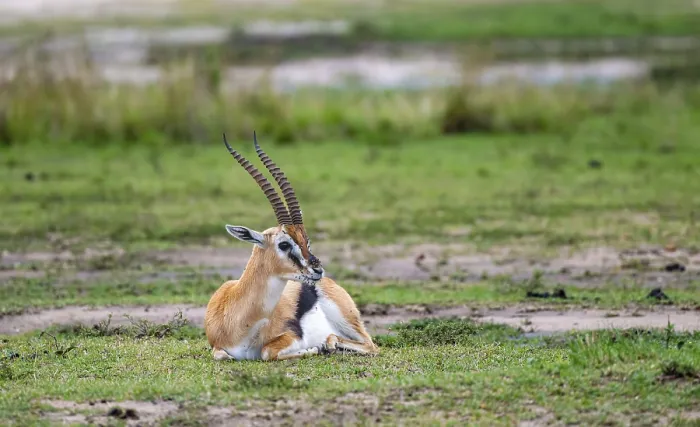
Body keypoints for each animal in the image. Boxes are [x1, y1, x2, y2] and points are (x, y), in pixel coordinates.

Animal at [205, 132, 379, 361]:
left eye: (307, 240)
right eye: (284, 244)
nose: (317, 269)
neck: (238, 320)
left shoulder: (291, 336)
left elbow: (267, 352)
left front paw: (314, 348)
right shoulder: (217, 347)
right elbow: (222, 355)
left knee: (368, 344)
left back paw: (328, 345)